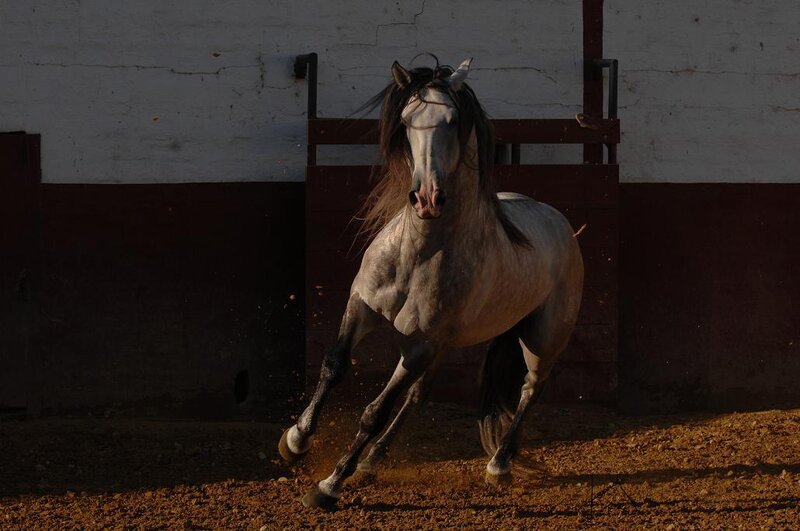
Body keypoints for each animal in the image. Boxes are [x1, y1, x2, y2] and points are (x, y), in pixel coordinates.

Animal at [279, 57, 584, 510]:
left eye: (453, 121)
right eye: (407, 121)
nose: (426, 198)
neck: (419, 253)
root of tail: (563, 225)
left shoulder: (421, 344)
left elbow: (374, 412)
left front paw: (328, 486)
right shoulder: (363, 305)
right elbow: (334, 366)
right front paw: (295, 441)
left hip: (540, 339)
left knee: (530, 390)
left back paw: (499, 465)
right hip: (445, 345)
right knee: (418, 396)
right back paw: (371, 463)